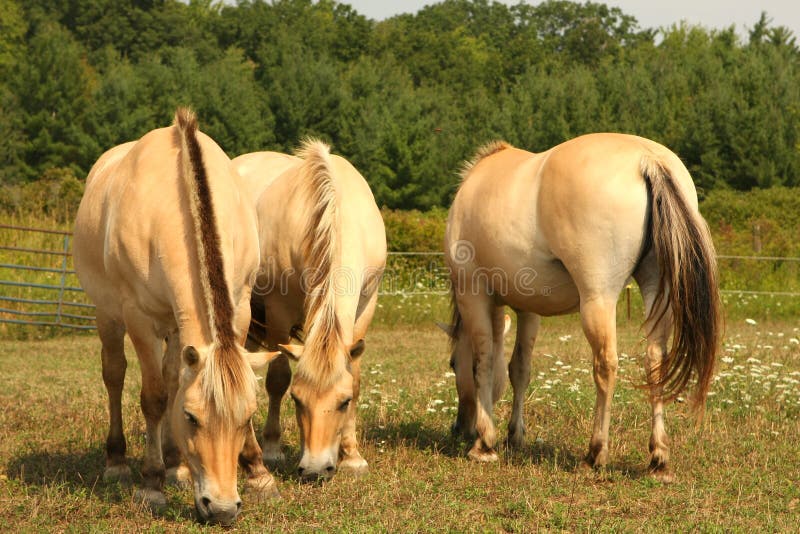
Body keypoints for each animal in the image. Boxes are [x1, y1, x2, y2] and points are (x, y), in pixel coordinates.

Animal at [73, 109, 280, 525]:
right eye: (191, 417)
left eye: (244, 416)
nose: (221, 508)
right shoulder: (138, 317)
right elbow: (153, 398)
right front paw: (152, 485)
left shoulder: (241, 307)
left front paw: (258, 472)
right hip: (109, 316)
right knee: (115, 374)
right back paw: (118, 462)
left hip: (175, 326)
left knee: (171, 375)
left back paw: (176, 465)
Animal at [234, 140, 386, 481]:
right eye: (297, 400)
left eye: (343, 402)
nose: (316, 469)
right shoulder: (278, 311)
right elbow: (277, 378)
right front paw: (273, 449)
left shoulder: (366, 307)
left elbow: (356, 377)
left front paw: (352, 456)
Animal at [442, 133, 721, 481]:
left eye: (453, 364)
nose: (459, 428)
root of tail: (648, 160)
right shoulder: (528, 308)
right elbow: (519, 368)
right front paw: (514, 435)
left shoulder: (474, 295)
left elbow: (484, 363)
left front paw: (484, 443)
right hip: (659, 293)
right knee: (655, 362)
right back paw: (659, 458)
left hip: (597, 298)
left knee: (605, 366)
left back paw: (595, 453)